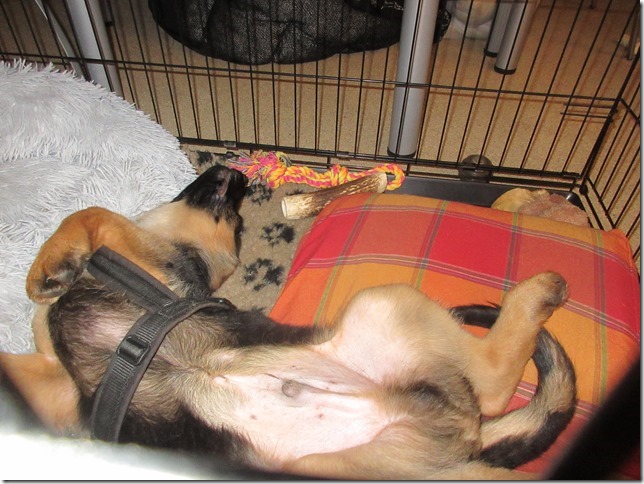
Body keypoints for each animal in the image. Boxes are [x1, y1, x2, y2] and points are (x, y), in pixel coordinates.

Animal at [0, 164, 576, 479]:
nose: (236, 172)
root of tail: (459, 431)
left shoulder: (157, 264)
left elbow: (95, 215)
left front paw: (46, 271)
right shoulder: (56, 385)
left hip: (383, 304)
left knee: (495, 379)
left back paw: (540, 289)